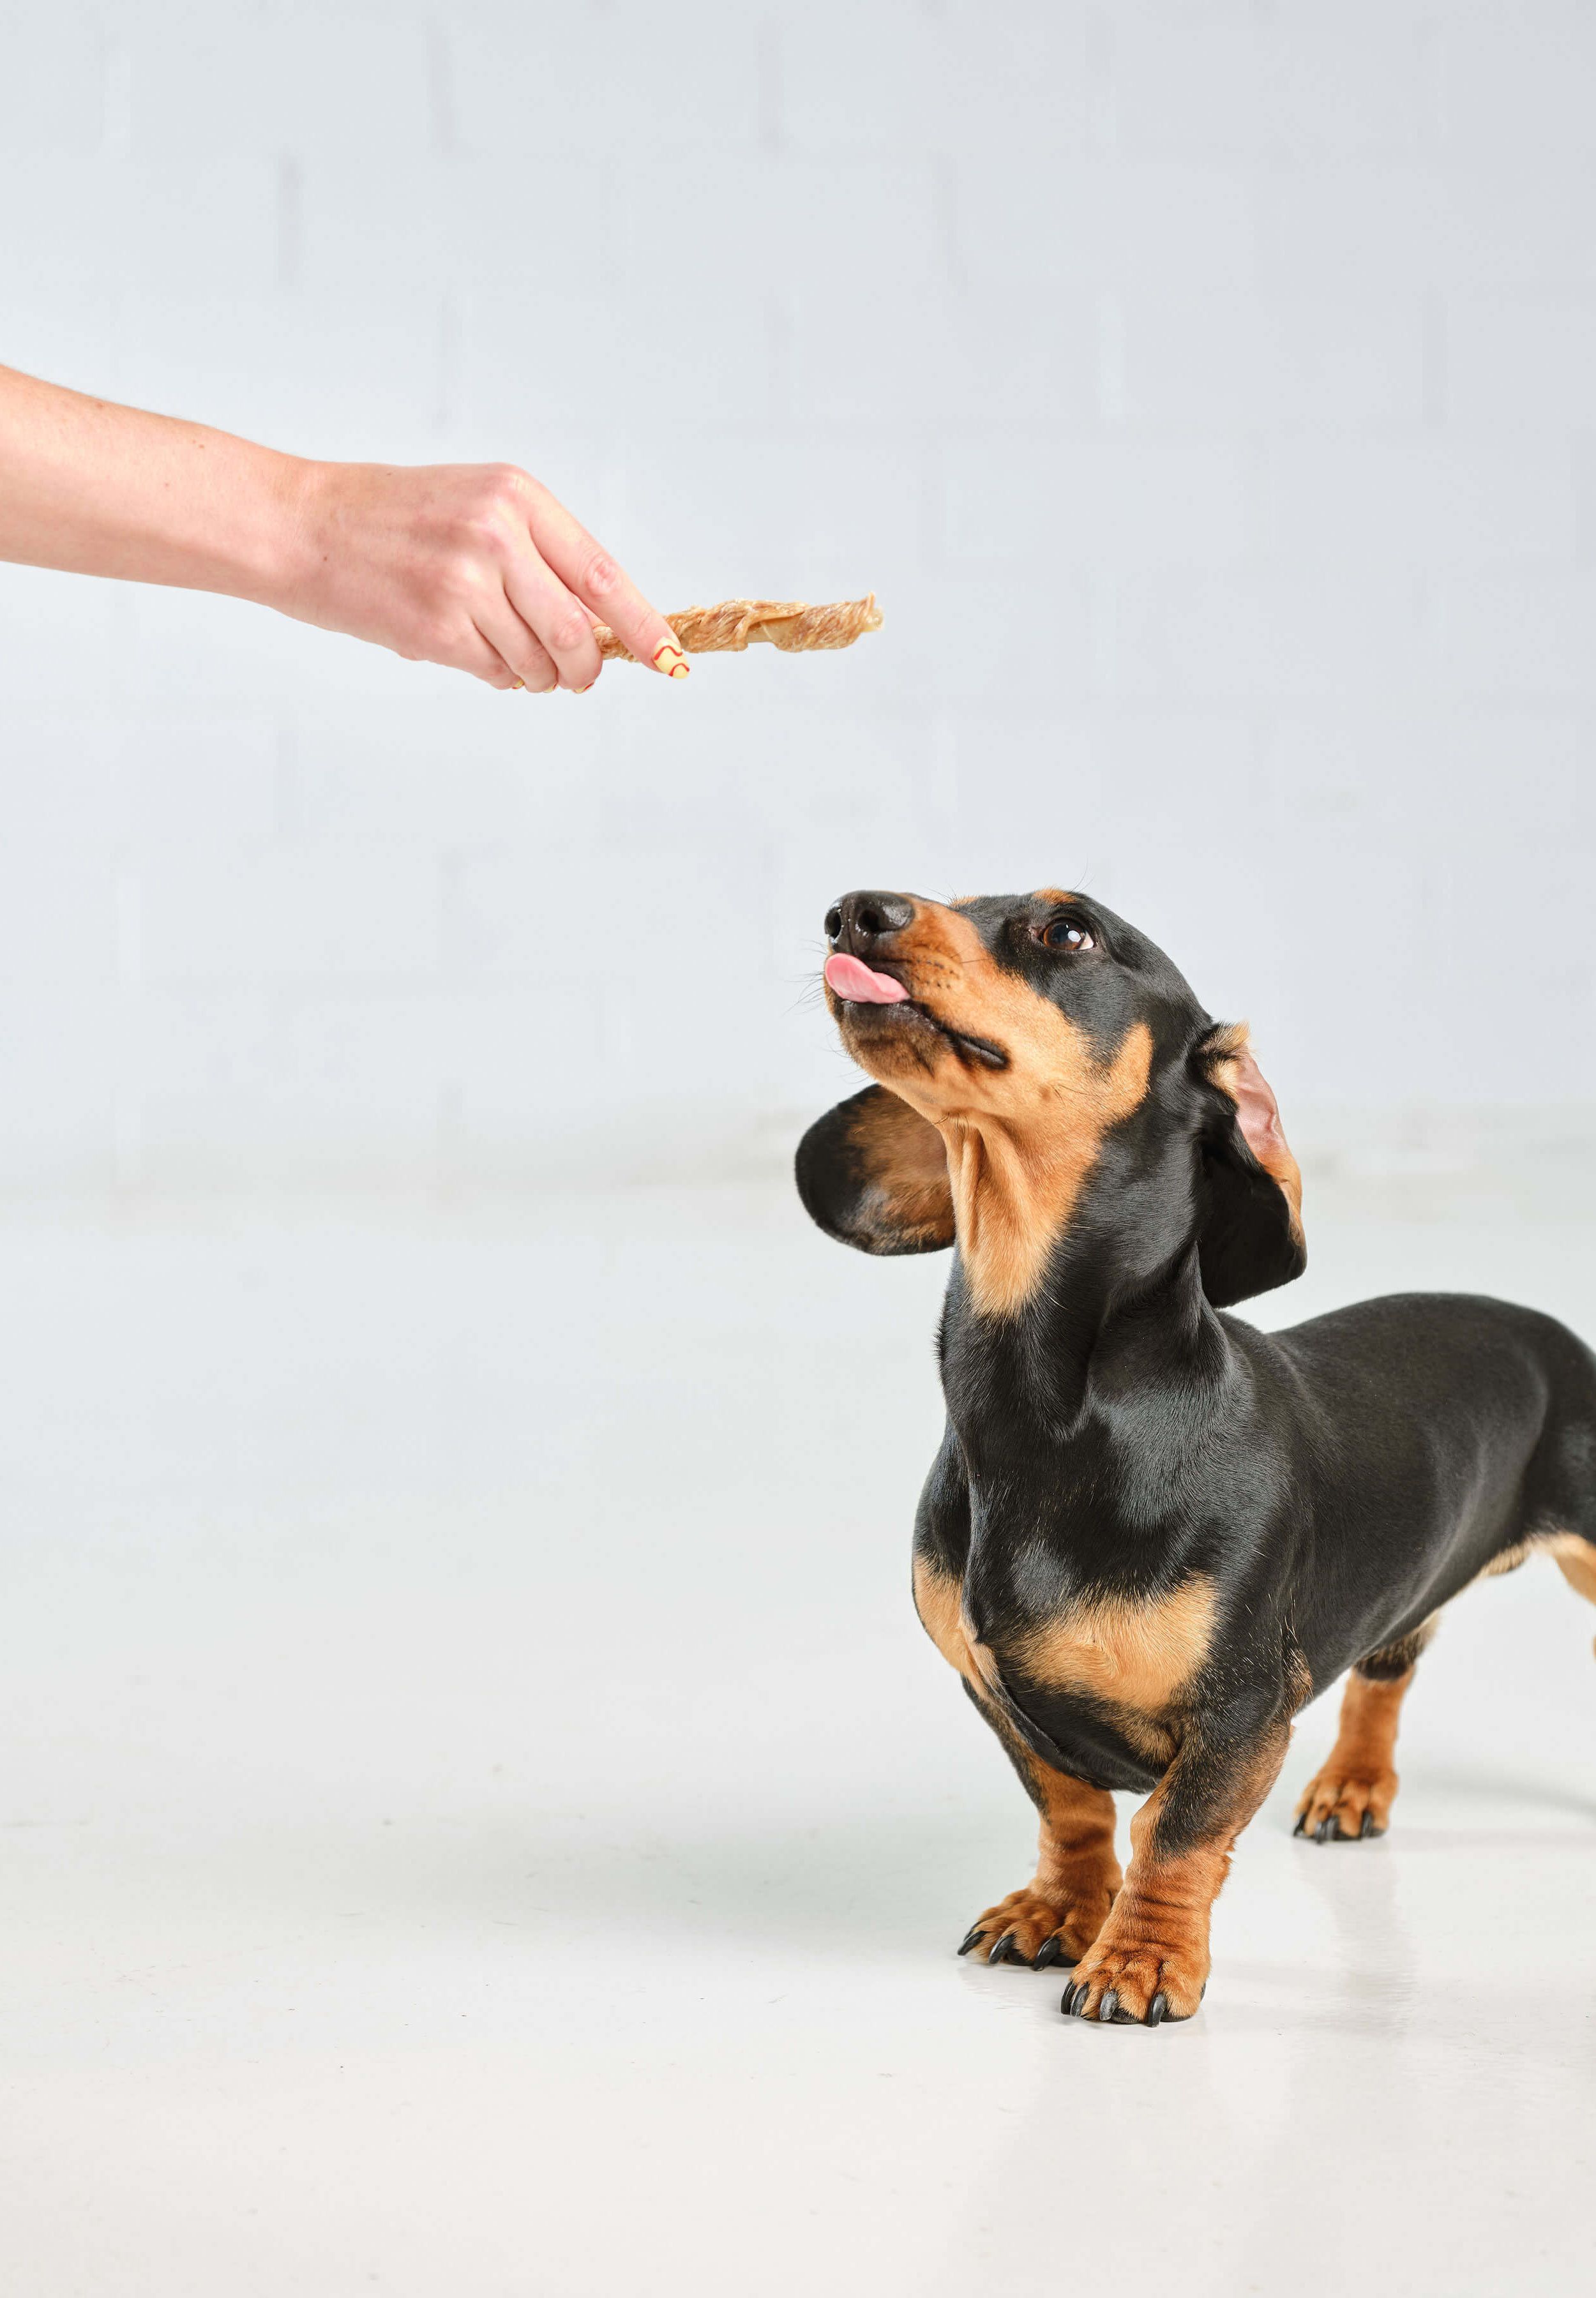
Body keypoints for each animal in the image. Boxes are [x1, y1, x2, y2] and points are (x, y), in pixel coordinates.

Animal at [795, 887, 1596, 2022]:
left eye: (1068, 931)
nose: (852, 914)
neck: (1053, 1417)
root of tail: (1543, 1326)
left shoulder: (1243, 1711)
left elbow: (1174, 1834)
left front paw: (1139, 1961)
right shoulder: (993, 1693)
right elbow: (1073, 1808)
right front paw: (1060, 1911)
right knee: (1386, 1670)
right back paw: (1354, 1787)